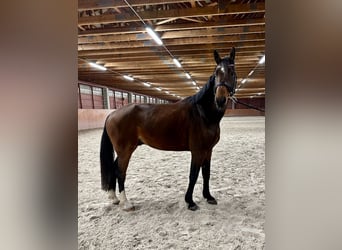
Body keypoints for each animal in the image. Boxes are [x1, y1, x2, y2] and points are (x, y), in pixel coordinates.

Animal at [100, 47, 236, 211]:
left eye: (232, 72)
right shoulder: (197, 151)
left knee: (113, 169)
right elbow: (193, 175)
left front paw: (208, 197)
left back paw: (114, 198)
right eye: (216, 72)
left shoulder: (208, 150)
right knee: (120, 172)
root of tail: (112, 114)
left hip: (123, 151)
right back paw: (126, 203)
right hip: (125, 150)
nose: (220, 99)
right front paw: (190, 202)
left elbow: (206, 173)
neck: (203, 113)